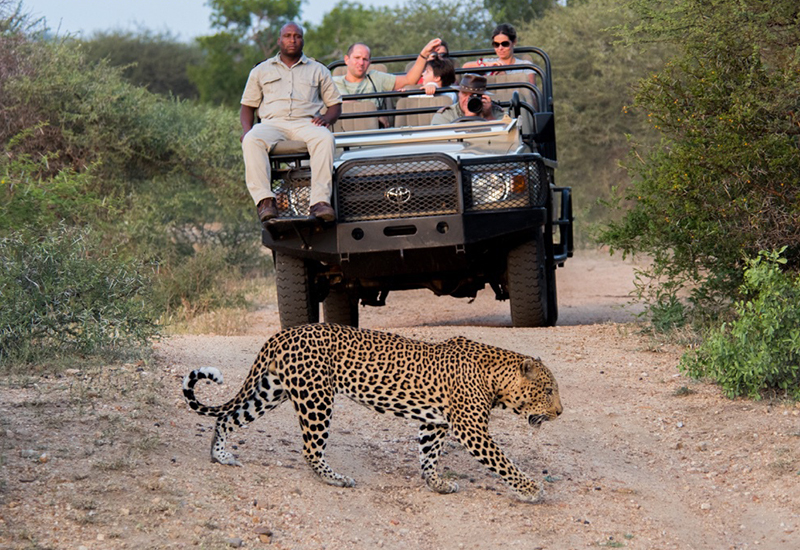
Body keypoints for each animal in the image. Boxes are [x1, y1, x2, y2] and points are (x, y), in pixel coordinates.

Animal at [184, 326, 564, 502]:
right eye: (548, 390)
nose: (560, 412)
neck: (496, 377)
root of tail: (283, 333)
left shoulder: (435, 423)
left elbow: (429, 456)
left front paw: (437, 483)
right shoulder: (472, 429)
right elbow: (503, 462)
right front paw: (531, 488)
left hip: (271, 390)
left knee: (226, 418)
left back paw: (220, 456)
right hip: (316, 397)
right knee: (310, 448)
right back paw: (336, 478)